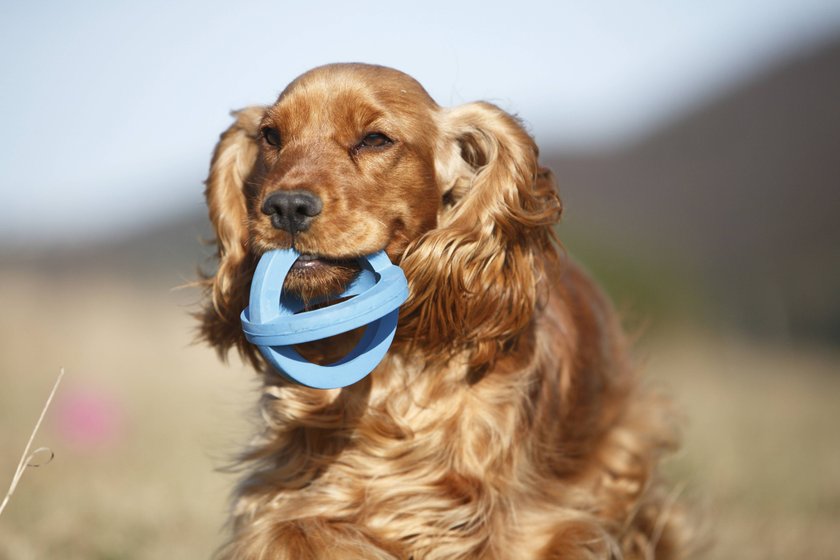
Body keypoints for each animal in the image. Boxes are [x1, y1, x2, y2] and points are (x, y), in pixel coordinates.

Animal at [197, 63, 688, 556]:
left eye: (375, 139)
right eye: (271, 136)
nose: (286, 206)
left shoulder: (514, 525)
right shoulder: (298, 497)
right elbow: (299, 530)